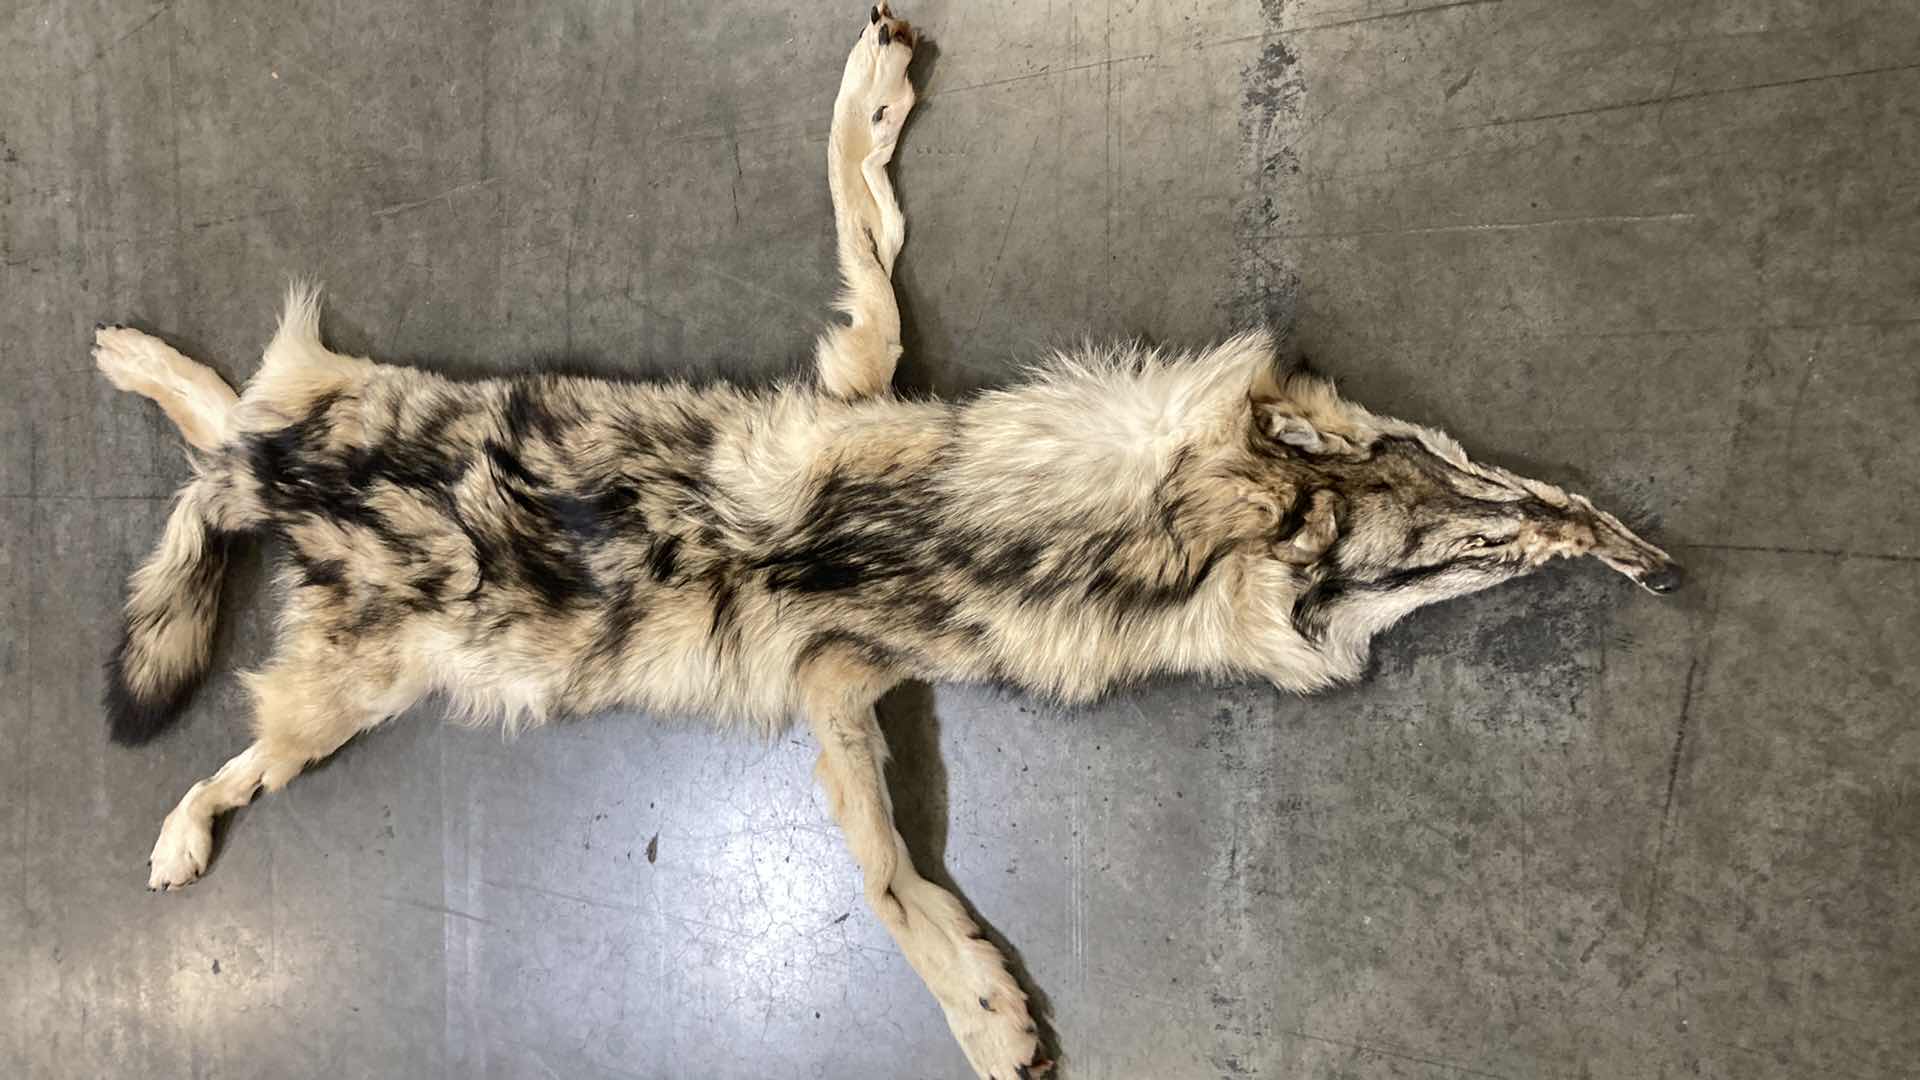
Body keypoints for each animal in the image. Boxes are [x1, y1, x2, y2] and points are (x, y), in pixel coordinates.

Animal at [89, 5, 1679, 1076]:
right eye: (1437, 534)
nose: (1608, 538)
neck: (987, 539)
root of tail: (281, 498)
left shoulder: (847, 642)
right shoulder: (845, 590)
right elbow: (886, 876)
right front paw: (986, 1013)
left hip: (337, 593)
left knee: (231, 424)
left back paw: (131, 366)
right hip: (335, 669)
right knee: (227, 635)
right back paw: (171, 802)